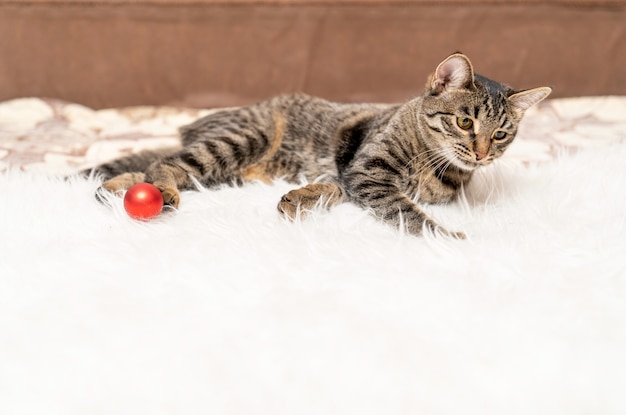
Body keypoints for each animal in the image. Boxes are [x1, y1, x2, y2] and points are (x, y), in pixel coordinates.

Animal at [88, 53, 544, 239]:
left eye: (501, 134)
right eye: (465, 122)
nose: (482, 153)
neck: (436, 166)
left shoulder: (351, 175)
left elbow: (329, 188)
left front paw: (301, 197)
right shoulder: (368, 171)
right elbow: (408, 214)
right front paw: (446, 238)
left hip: (227, 171)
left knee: (151, 168)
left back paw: (114, 188)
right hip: (241, 140)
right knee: (166, 163)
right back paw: (158, 190)